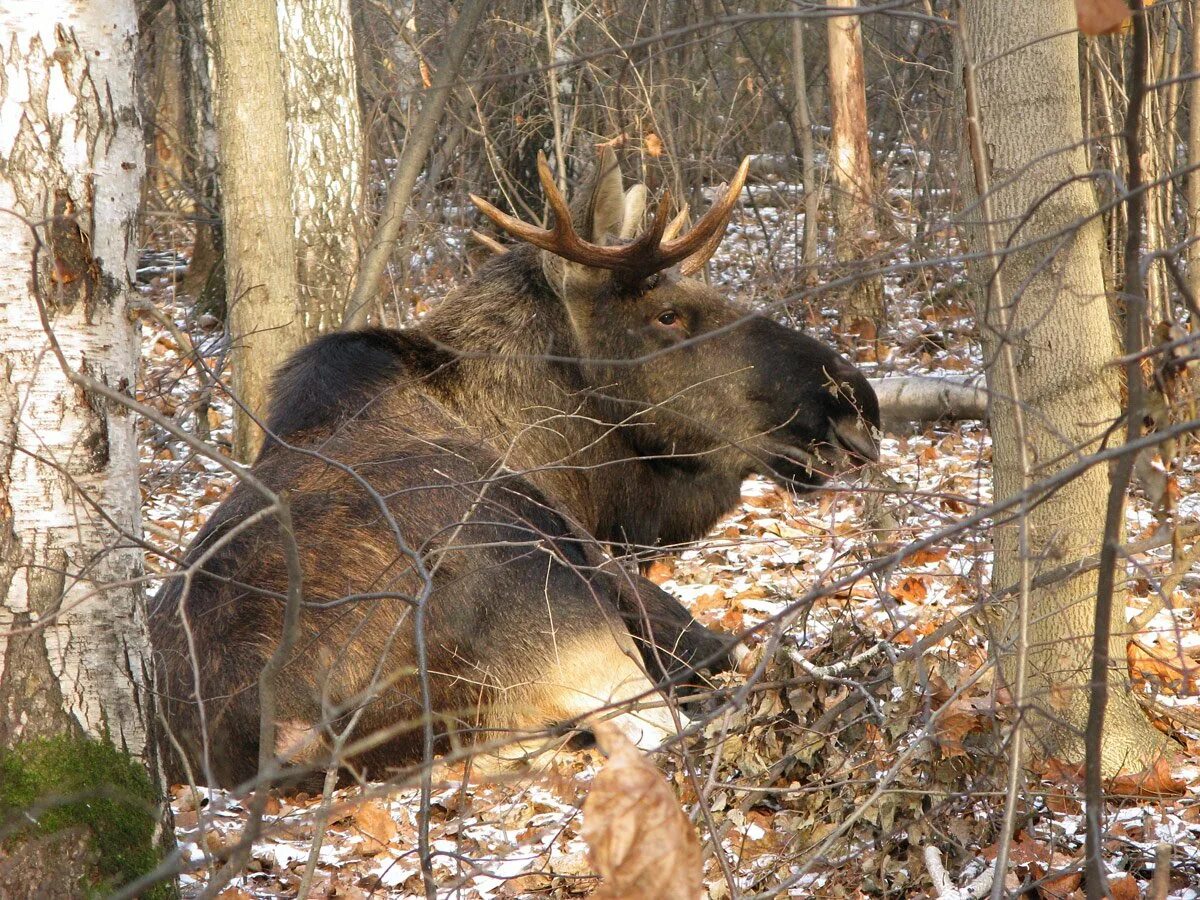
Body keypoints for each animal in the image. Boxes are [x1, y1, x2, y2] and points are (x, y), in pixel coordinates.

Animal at [152, 151, 883, 792]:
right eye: (667, 315)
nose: (854, 403)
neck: (567, 463)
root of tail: (288, 736)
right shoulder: (601, 565)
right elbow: (720, 646)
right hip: (572, 626)